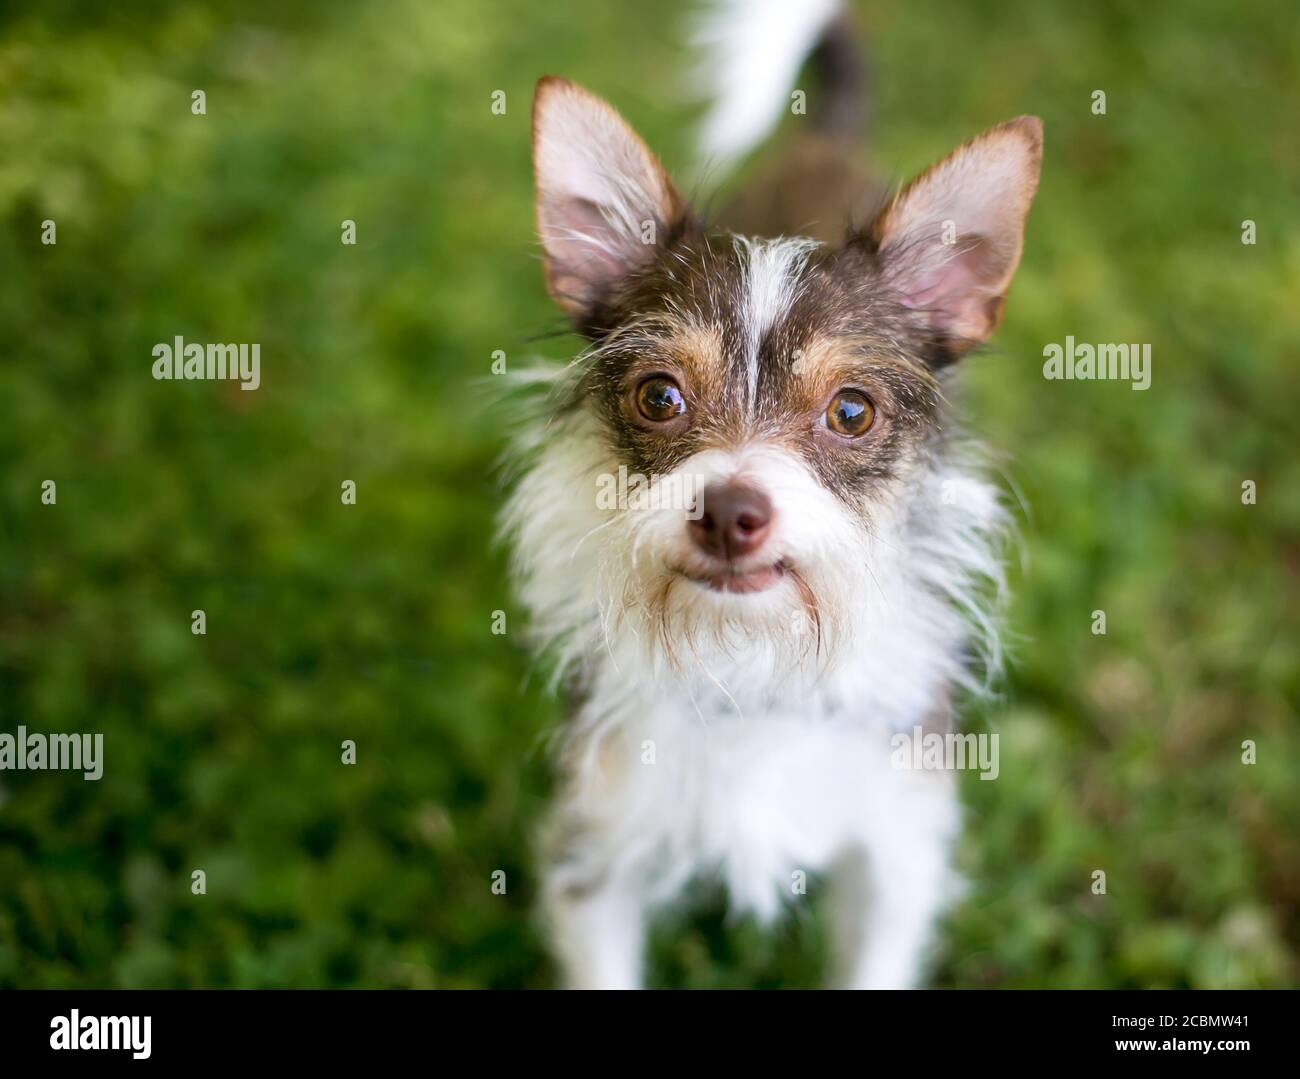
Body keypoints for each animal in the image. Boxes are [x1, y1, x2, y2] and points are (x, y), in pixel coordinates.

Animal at [501, 0, 1040, 987]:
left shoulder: (895, 857)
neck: (750, 664)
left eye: (852, 411)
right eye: (659, 397)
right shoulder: (594, 857)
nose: (729, 512)